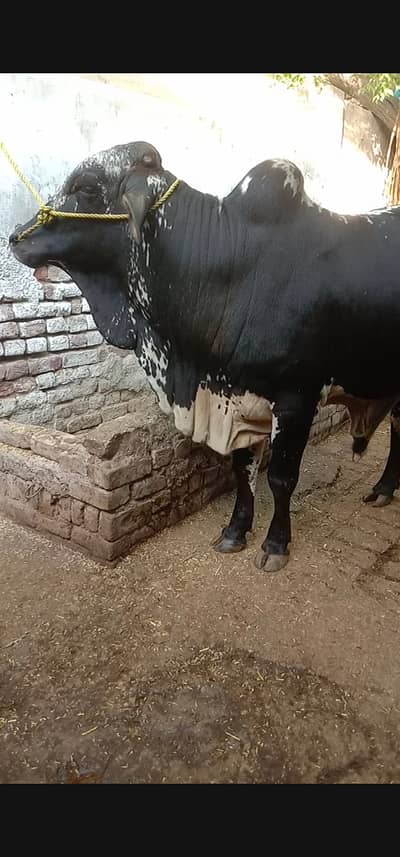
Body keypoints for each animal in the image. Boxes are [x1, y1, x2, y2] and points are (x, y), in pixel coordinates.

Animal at [9, 140, 400, 572]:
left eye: (88, 186)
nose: (15, 236)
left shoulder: (298, 398)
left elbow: (281, 477)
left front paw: (275, 545)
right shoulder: (238, 396)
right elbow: (242, 470)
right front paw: (234, 533)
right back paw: (384, 489)